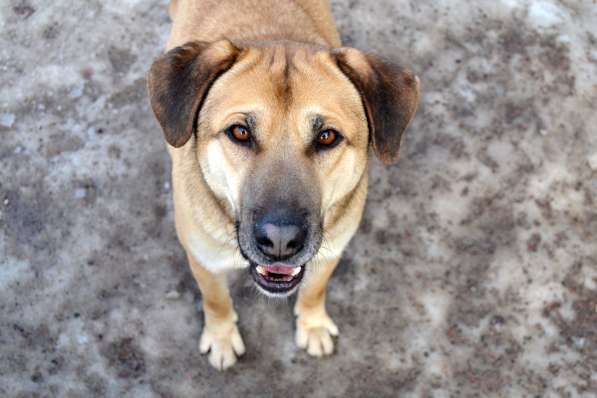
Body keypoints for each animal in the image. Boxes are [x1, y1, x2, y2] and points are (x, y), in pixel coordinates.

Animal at [148, 0, 420, 370]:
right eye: (240, 132)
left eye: (327, 136)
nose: (280, 241)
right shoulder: (204, 261)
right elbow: (216, 300)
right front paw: (221, 337)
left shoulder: (330, 251)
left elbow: (314, 290)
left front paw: (313, 324)